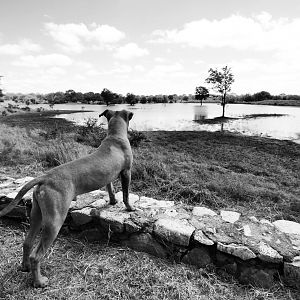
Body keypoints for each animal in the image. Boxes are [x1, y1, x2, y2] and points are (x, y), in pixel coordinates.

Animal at [0, 109, 134, 288]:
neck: (115, 136)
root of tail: (45, 178)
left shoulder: (109, 176)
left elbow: (110, 189)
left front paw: (113, 202)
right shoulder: (126, 172)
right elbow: (126, 194)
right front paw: (130, 207)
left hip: (36, 215)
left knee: (27, 242)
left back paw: (25, 267)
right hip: (54, 221)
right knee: (36, 255)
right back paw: (39, 282)